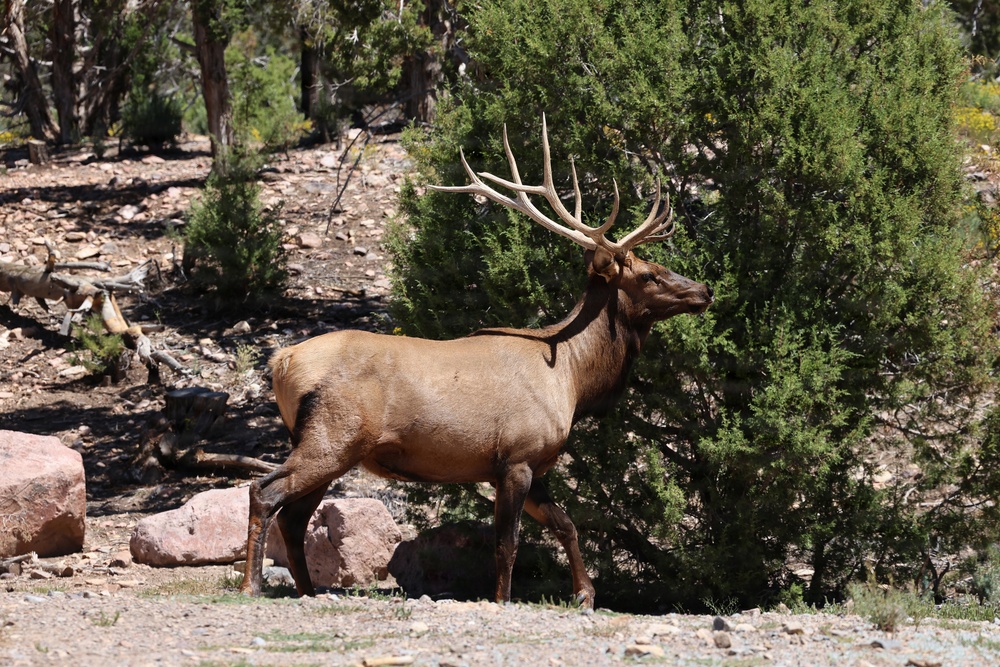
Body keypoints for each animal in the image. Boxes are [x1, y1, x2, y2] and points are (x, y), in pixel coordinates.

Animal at [239, 116, 714, 608]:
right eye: (649, 274)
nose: (705, 290)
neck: (573, 381)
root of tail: (282, 361)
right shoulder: (517, 456)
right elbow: (508, 543)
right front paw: (503, 599)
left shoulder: (524, 464)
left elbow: (566, 524)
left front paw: (585, 594)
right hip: (333, 437)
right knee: (264, 491)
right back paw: (251, 585)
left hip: (326, 445)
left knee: (293, 516)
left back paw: (307, 590)